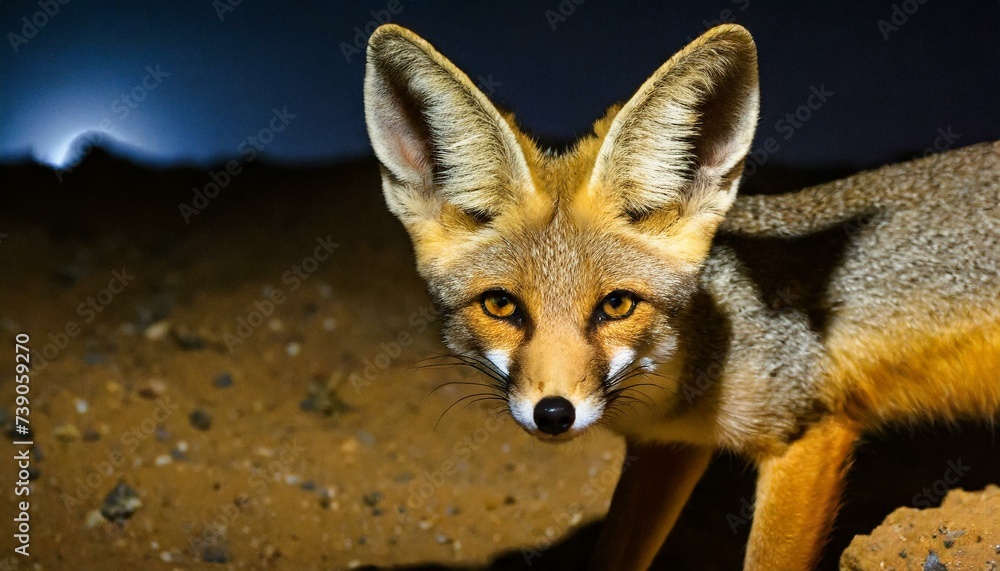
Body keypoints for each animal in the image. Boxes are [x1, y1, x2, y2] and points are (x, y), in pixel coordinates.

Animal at [363, 22, 1000, 570]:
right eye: (501, 306)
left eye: (617, 305)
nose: (554, 414)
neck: (697, 359)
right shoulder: (667, 448)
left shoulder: (807, 432)